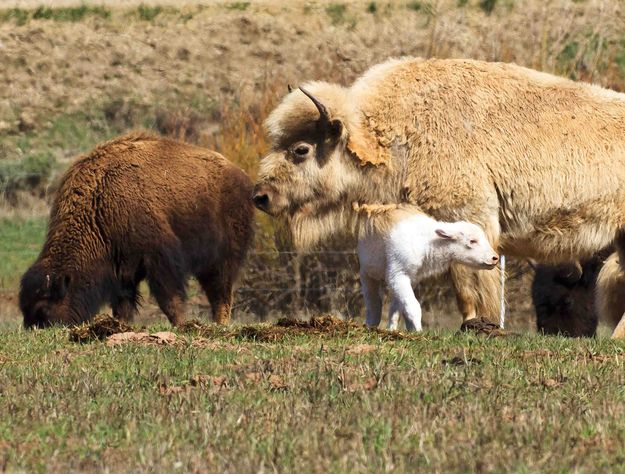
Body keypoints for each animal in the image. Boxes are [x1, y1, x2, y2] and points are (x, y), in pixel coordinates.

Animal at [20, 131, 254, 328]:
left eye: (43, 309)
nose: (34, 329)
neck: (100, 200)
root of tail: (242, 177)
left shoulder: (159, 259)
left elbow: (169, 299)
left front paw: (180, 324)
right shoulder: (122, 270)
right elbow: (123, 303)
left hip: (221, 258)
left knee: (220, 292)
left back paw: (220, 324)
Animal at [251, 56, 624, 336]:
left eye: (301, 149)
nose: (261, 196)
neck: (394, 133)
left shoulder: (473, 219)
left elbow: (474, 284)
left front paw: (483, 325)